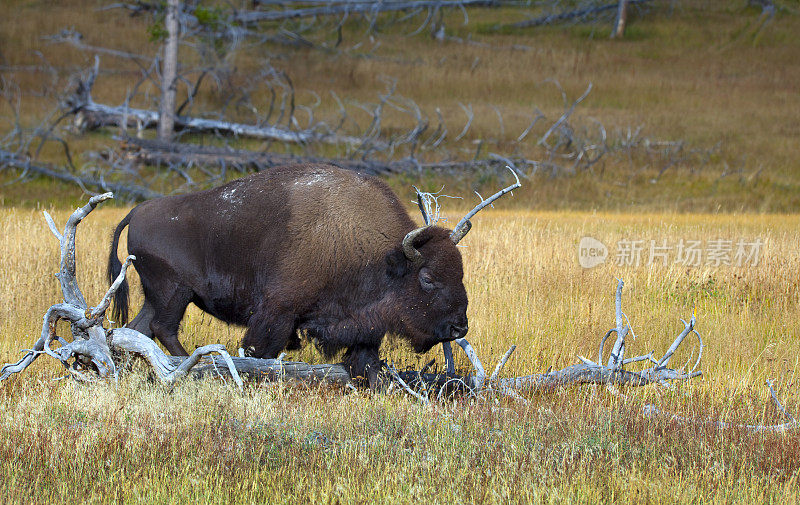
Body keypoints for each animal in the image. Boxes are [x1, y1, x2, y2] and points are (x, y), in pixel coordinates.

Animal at [109, 163, 478, 384]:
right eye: (427, 279)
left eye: (460, 273)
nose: (459, 327)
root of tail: (136, 212)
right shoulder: (277, 312)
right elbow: (259, 350)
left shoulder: (362, 323)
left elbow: (367, 360)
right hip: (175, 293)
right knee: (163, 329)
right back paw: (192, 365)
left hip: (158, 296)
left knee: (138, 330)